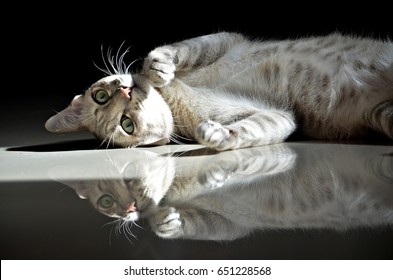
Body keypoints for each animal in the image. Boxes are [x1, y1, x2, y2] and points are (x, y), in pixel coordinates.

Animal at [44, 31, 392, 150]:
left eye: (99, 96)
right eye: (126, 125)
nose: (124, 93)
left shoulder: (225, 40)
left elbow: (179, 49)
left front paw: (158, 66)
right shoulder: (278, 114)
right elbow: (253, 129)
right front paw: (221, 135)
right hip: (381, 114)